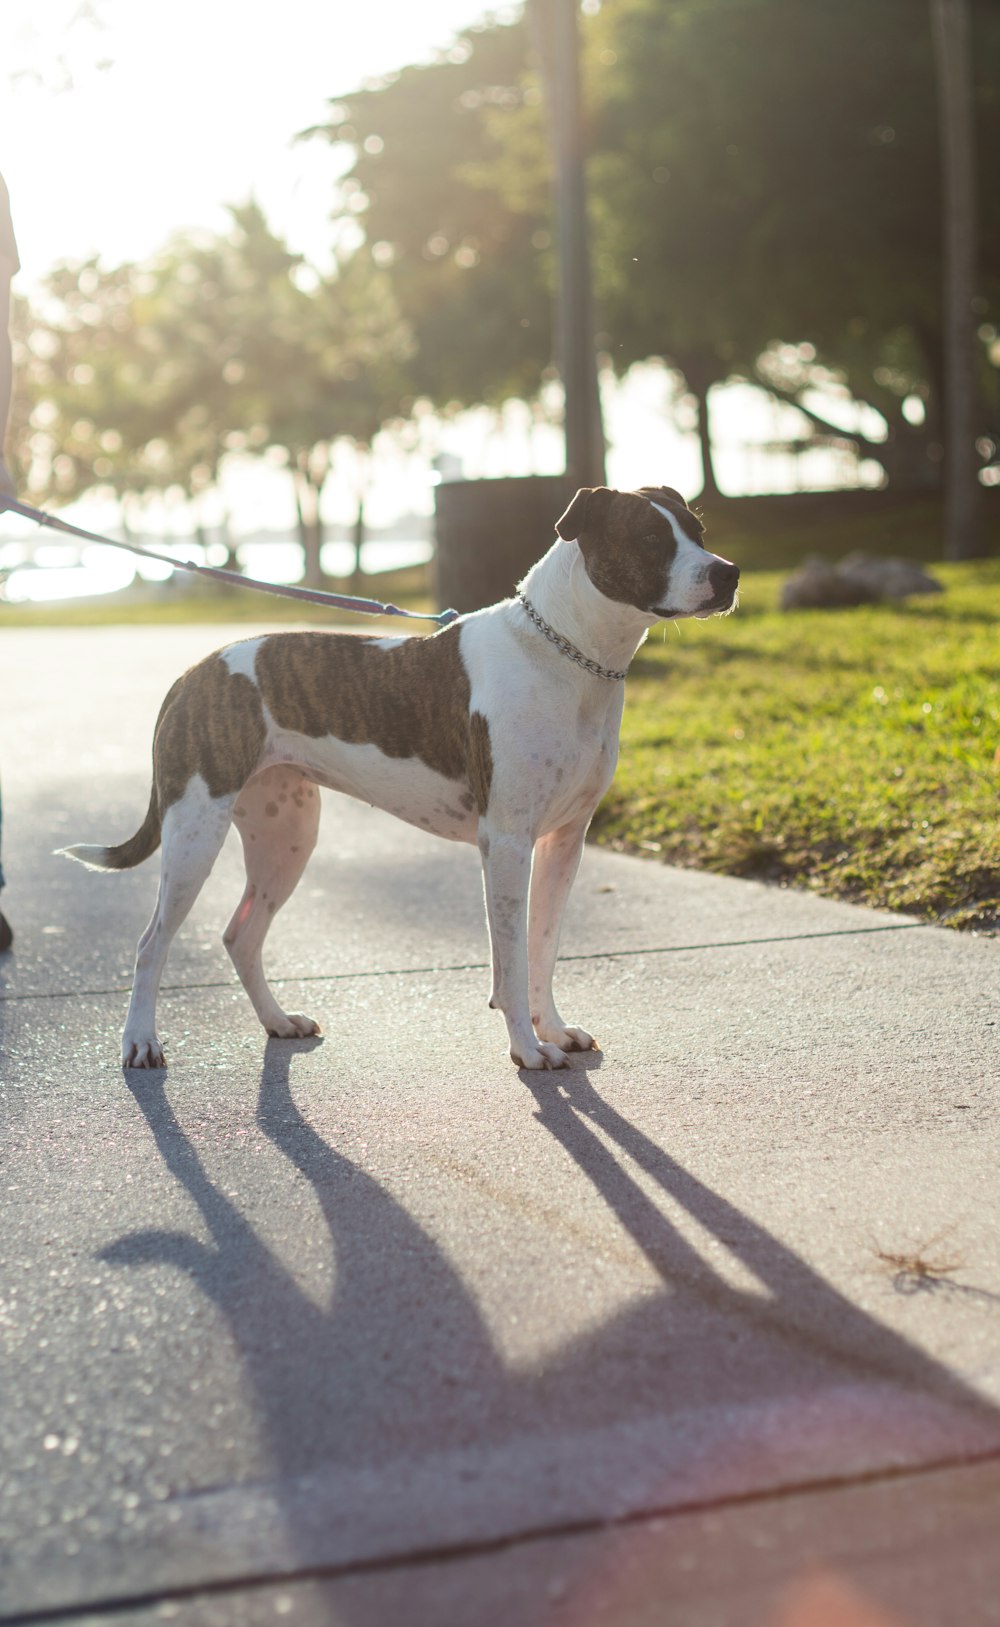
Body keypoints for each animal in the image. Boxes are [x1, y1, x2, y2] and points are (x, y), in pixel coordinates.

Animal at [60, 481, 734, 1067]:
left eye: (698, 530)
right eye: (650, 538)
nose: (727, 573)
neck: (567, 656)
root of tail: (192, 672)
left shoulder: (564, 840)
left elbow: (542, 947)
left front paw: (555, 1030)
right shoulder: (507, 843)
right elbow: (511, 959)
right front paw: (526, 1048)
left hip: (286, 834)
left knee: (240, 935)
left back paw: (278, 1021)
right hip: (195, 831)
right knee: (151, 943)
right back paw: (140, 1042)